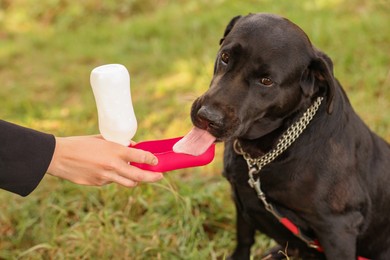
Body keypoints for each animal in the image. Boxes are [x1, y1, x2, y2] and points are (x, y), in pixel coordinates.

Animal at [190, 13, 390, 258]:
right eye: (225, 57)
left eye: (266, 81)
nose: (207, 117)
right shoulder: (241, 198)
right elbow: (244, 239)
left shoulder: (338, 228)